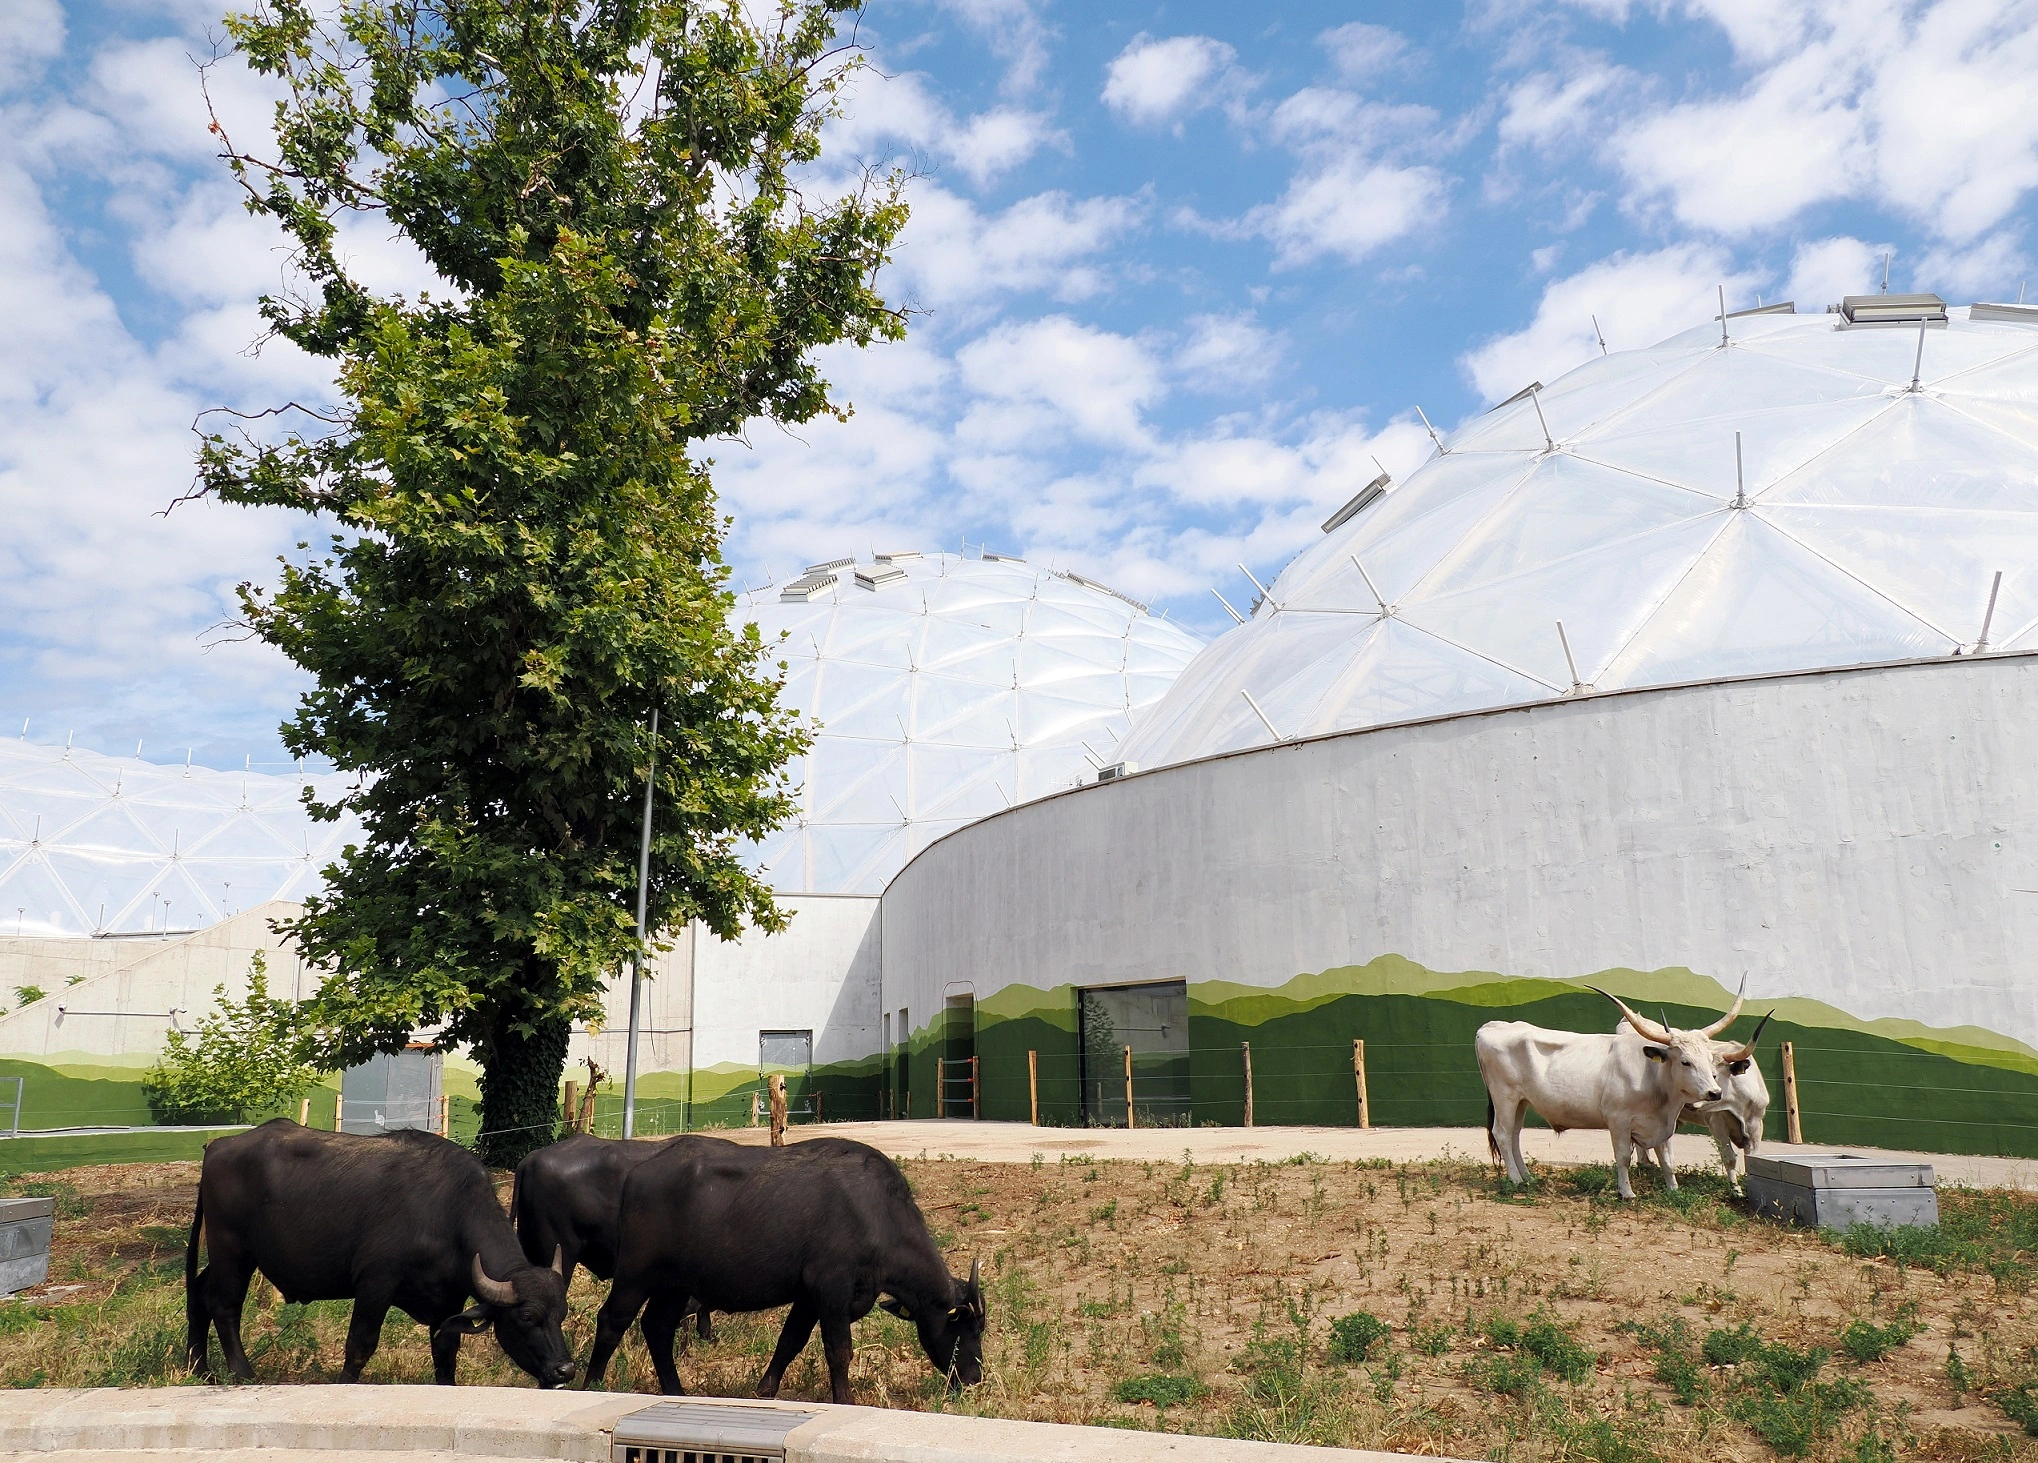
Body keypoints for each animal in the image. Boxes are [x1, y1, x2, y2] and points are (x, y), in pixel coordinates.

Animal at [184, 1124, 574, 1385]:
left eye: (562, 1315)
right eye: (526, 1317)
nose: (565, 1370)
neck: (446, 1212)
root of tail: (217, 1146)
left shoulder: (448, 1302)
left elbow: (445, 1353)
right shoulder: (376, 1283)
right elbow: (360, 1345)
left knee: (199, 1293)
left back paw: (199, 1368)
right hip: (232, 1249)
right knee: (224, 1304)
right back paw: (242, 1372)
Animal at [582, 1132, 986, 1410]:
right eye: (966, 1326)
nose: (974, 1377)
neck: (877, 1214)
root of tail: (637, 1175)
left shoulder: (808, 1297)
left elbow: (790, 1341)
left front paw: (766, 1389)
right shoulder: (832, 1289)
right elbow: (839, 1350)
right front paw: (845, 1400)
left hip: (674, 1285)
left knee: (658, 1328)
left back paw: (676, 1391)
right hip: (636, 1274)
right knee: (612, 1320)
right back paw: (590, 1385)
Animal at [1475, 986, 1760, 1206]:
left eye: (1711, 1062)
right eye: (1685, 1062)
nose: (1714, 1092)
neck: (1653, 1078)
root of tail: (1491, 1026)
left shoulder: (1664, 1125)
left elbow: (1667, 1159)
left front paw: (1674, 1190)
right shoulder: (1618, 1121)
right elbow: (1623, 1157)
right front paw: (1626, 1192)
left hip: (1521, 1101)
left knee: (1514, 1135)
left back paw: (1527, 1177)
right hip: (1505, 1096)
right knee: (1502, 1133)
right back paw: (1515, 1180)